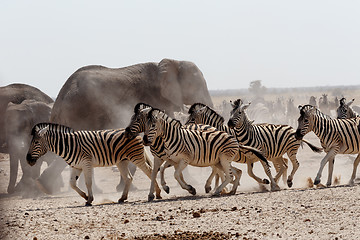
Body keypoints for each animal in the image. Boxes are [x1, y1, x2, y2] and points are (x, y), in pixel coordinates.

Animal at [27, 123, 162, 205]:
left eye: (36, 142)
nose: (28, 159)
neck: (68, 145)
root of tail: (136, 134)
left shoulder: (86, 163)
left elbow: (88, 182)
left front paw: (90, 200)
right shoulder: (76, 166)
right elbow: (72, 184)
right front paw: (85, 196)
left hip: (136, 157)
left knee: (150, 171)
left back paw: (156, 194)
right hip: (121, 161)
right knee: (128, 177)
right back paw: (122, 198)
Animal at [125, 103, 268, 199]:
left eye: (138, 120)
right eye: (146, 124)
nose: (144, 140)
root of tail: (235, 140)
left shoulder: (183, 160)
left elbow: (175, 174)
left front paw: (191, 188)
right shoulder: (170, 159)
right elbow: (161, 171)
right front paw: (164, 188)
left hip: (225, 159)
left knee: (232, 174)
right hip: (221, 160)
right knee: (236, 172)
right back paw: (231, 189)